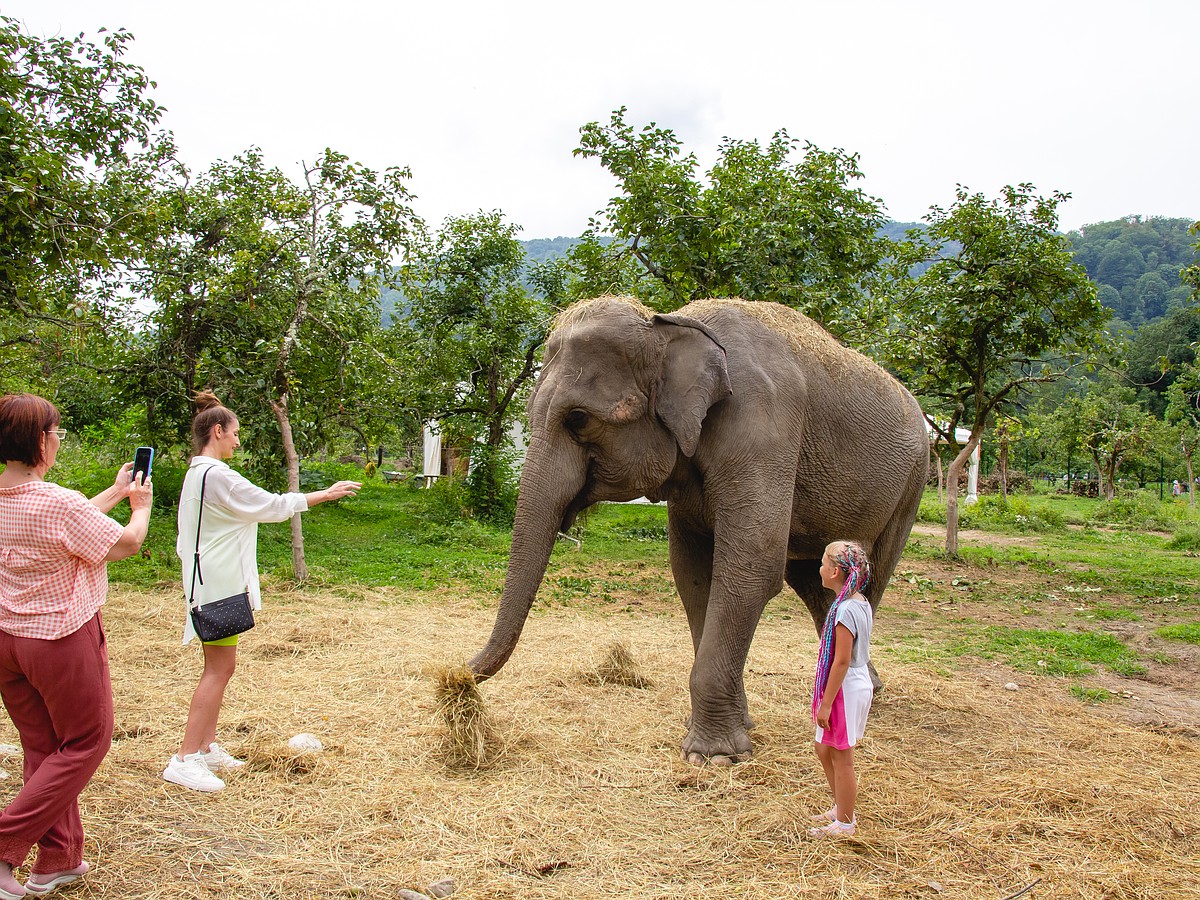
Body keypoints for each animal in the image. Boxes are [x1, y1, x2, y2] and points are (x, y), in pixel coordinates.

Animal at [468, 297, 926, 768]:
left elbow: (752, 564)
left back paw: (859, 696)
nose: (457, 676)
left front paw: (713, 757)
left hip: (913, 481)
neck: (670, 325)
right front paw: (737, 730)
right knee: (812, 579)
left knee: (870, 576)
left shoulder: (764, 424)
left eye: (578, 419)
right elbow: (691, 572)